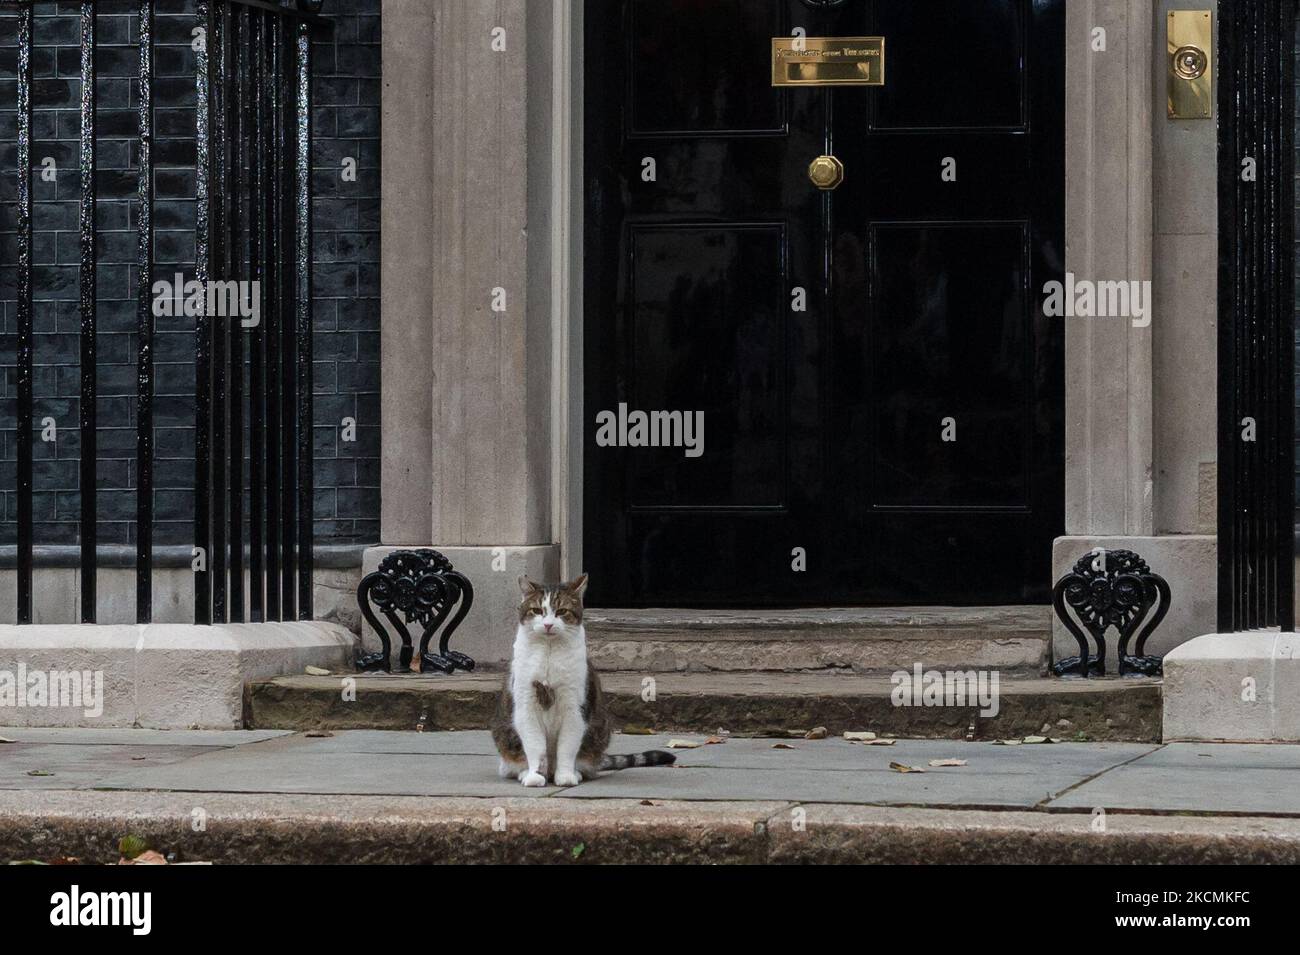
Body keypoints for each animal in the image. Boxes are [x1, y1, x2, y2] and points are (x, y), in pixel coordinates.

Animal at [486, 574, 670, 784]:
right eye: (537, 611)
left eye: (562, 611)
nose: (548, 624)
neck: (549, 652)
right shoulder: (526, 705)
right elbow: (535, 746)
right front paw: (535, 776)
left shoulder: (575, 708)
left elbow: (567, 747)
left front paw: (566, 776)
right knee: (510, 765)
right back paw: (526, 772)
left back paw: (575, 772)